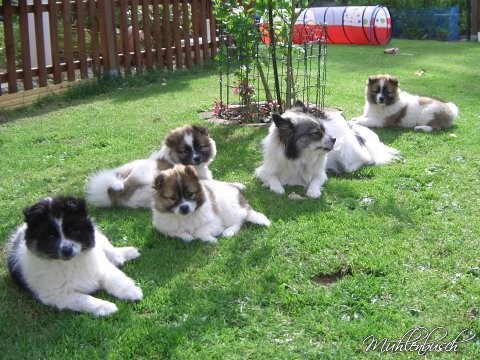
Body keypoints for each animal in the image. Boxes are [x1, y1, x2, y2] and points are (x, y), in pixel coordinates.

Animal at [6, 195, 142, 316]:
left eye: (73, 230)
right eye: (50, 236)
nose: (67, 250)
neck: (71, 263)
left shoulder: (101, 267)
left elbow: (114, 278)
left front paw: (132, 291)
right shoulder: (58, 294)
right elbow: (83, 299)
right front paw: (106, 307)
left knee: (106, 245)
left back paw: (127, 253)